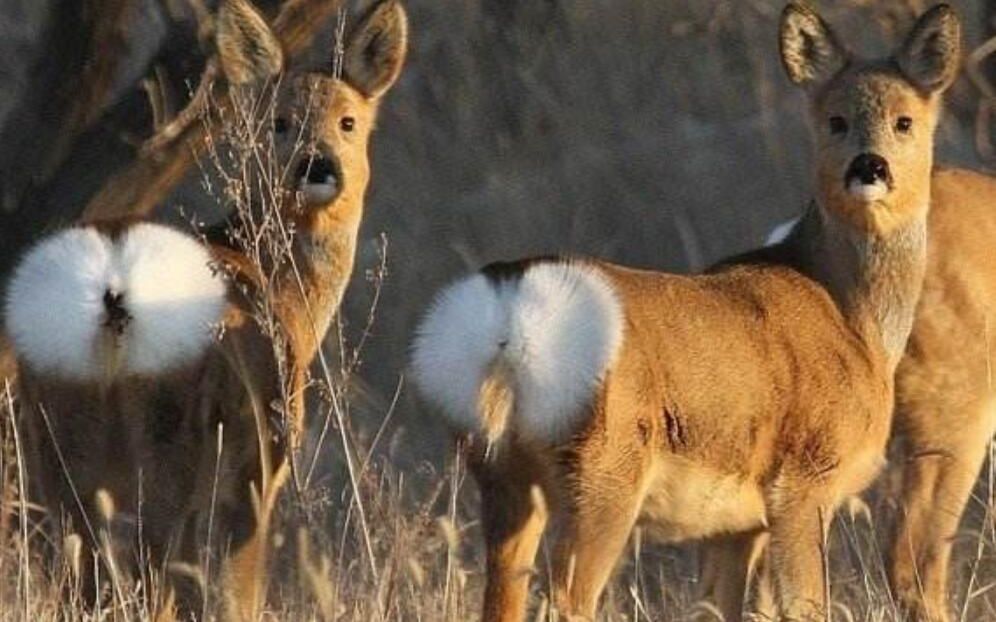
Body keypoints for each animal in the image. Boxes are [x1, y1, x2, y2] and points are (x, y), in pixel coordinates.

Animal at [3, 0, 406, 620]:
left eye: (348, 121)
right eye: (279, 121)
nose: (317, 166)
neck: (285, 294)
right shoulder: (256, 463)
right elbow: (237, 588)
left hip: (55, 438)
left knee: (77, 571)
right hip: (167, 438)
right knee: (148, 571)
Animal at [408, 2, 960, 620]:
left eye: (905, 121)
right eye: (835, 120)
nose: (870, 167)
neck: (853, 317)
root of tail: (508, 307)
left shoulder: (736, 525)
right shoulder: (804, 478)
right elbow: (804, 604)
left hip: (500, 471)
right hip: (603, 470)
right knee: (566, 599)